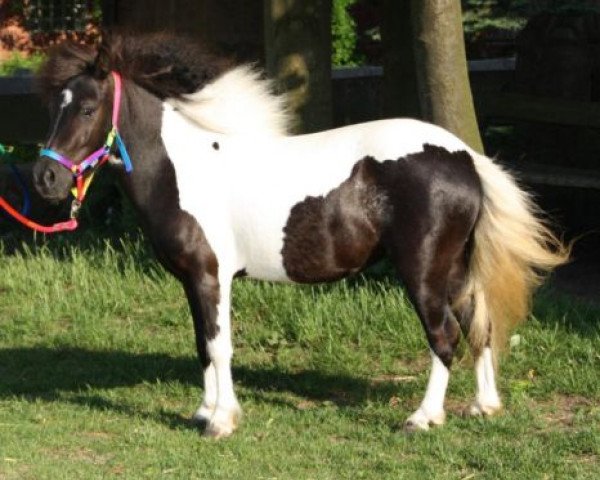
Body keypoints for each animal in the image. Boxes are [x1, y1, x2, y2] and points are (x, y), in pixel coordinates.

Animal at [31, 32, 568, 438]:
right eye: (54, 107)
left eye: (87, 109)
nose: (45, 178)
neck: (182, 169)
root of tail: (464, 157)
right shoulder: (191, 280)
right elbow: (203, 344)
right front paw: (205, 412)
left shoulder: (210, 276)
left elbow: (220, 345)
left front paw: (221, 422)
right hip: (453, 269)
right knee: (479, 324)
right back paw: (483, 407)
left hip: (423, 272)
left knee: (445, 335)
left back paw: (422, 418)